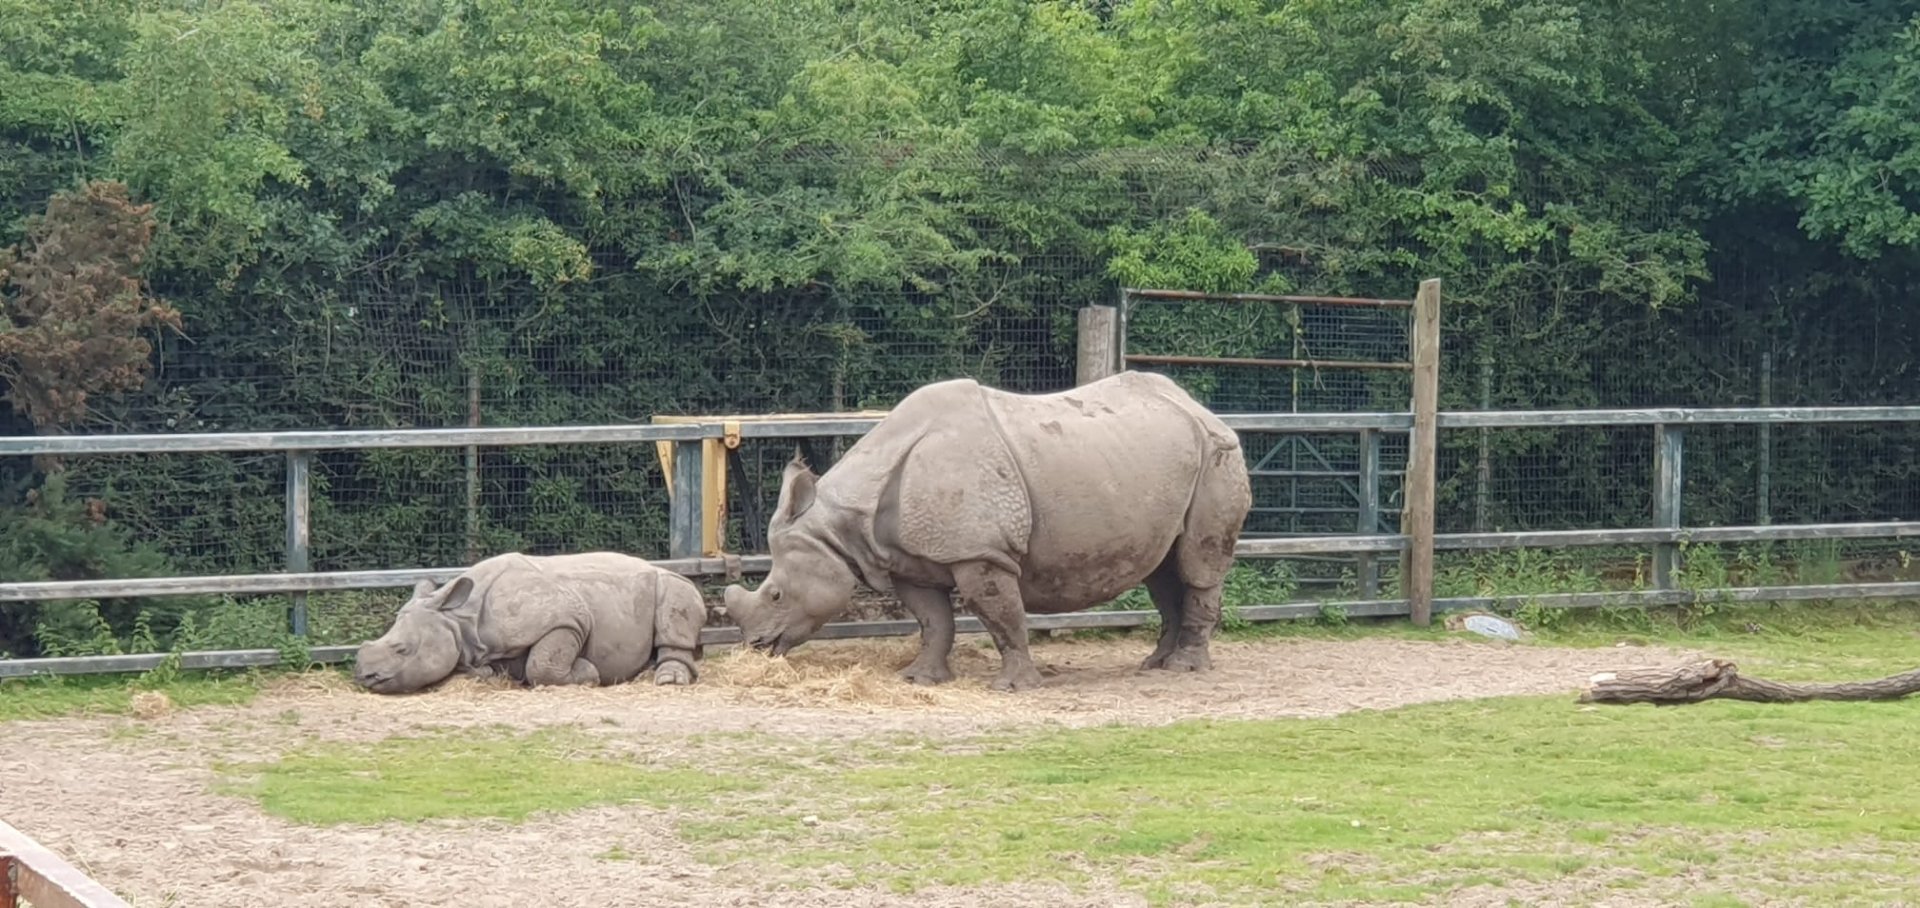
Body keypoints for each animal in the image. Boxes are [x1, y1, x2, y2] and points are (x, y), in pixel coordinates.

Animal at [352, 551, 708, 694]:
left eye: (403, 649)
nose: (363, 676)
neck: (458, 619)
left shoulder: (568, 619)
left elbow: (542, 664)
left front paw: (589, 675)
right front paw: (486, 673)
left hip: (671, 582)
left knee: (677, 596)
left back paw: (667, 680)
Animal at [721, 370, 1253, 692]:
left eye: (775, 594)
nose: (757, 647)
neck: (842, 524)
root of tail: (1200, 408)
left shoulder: (982, 552)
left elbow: (1001, 616)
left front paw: (1015, 687)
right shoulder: (911, 561)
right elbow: (933, 620)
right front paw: (920, 680)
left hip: (1217, 456)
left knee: (1197, 565)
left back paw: (1184, 669)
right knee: (1163, 569)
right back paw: (1154, 665)